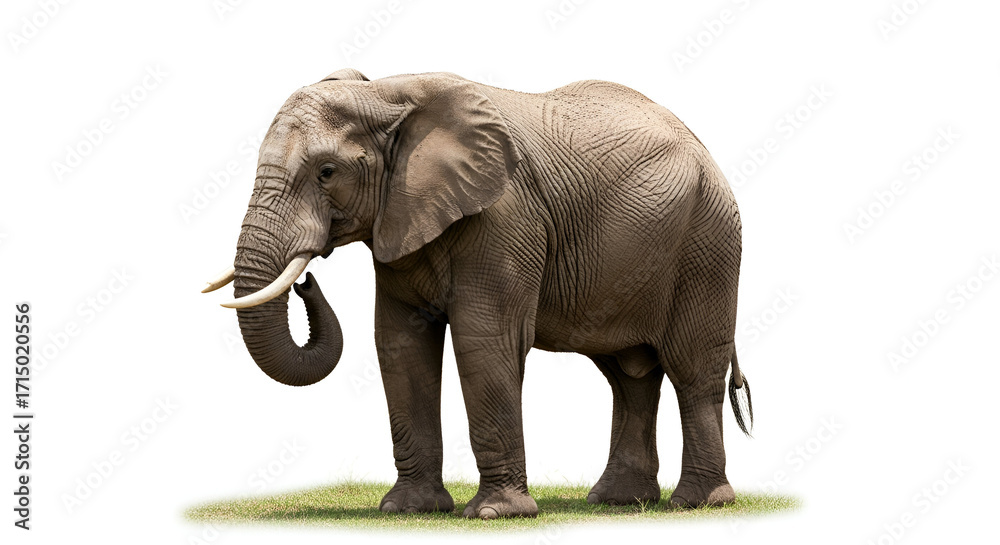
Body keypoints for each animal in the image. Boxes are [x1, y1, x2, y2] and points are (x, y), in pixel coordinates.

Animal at [203, 68, 754, 519]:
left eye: (326, 172)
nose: (305, 281)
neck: (387, 93)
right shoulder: (400, 220)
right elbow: (400, 347)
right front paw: (407, 510)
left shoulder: (504, 217)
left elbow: (484, 340)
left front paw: (495, 515)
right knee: (629, 374)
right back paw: (617, 501)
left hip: (708, 243)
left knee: (691, 370)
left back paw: (697, 503)